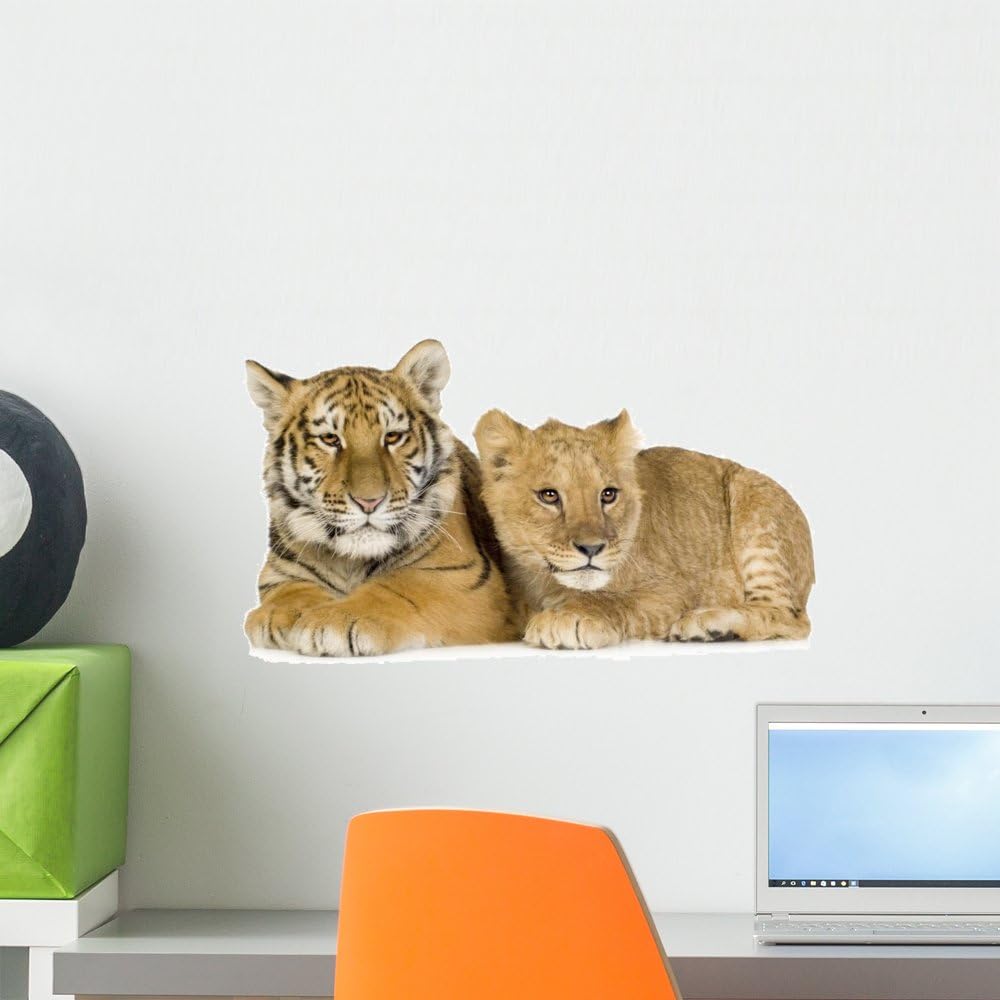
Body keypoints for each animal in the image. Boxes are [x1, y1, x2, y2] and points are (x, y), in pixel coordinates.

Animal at [245, 340, 516, 656]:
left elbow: (399, 588)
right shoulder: (278, 573)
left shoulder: (463, 576)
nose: (369, 502)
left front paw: (334, 620)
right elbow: (292, 591)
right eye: (330, 439)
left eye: (393, 437)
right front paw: (278, 617)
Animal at [474, 409, 814, 649]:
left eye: (608, 494)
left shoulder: (672, 590)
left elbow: (617, 600)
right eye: (549, 495)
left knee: (792, 617)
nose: (592, 548)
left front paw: (569, 617)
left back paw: (709, 625)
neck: (549, 585)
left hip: (755, 502)